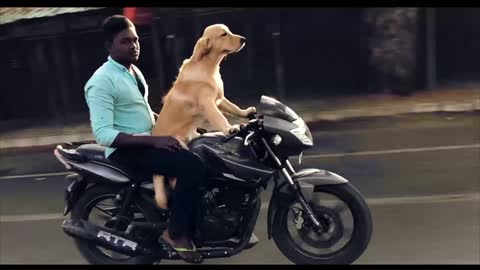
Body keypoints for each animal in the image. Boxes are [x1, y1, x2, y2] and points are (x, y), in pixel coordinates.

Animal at [152, 23, 256, 209]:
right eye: (223, 34)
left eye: (228, 31)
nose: (243, 39)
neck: (209, 67)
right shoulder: (208, 104)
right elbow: (220, 118)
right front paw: (230, 129)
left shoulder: (220, 99)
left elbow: (234, 107)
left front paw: (245, 112)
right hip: (179, 148)